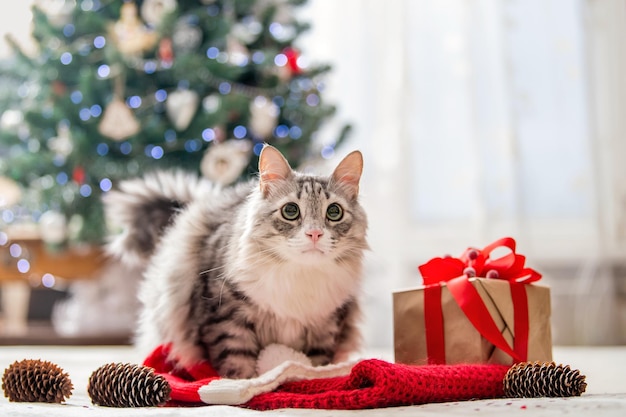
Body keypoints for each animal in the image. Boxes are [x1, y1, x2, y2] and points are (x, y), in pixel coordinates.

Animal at [102, 143, 366, 376]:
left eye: (334, 212)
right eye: (290, 211)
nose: (314, 234)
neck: (300, 277)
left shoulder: (326, 326)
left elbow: (318, 364)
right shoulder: (227, 317)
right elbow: (236, 364)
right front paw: (245, 387)